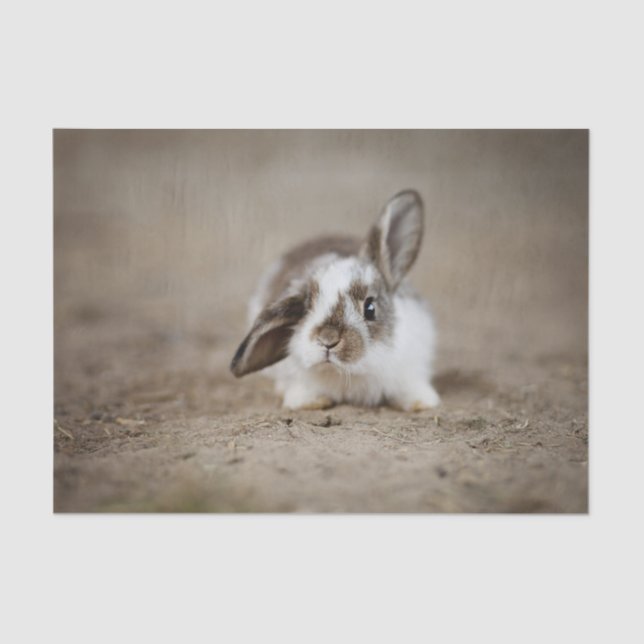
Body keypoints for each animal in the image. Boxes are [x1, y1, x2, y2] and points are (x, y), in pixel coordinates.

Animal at [230, 190, 440, 411]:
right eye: (306, 309)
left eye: (370, 308)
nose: (327, 340)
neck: (350, 373)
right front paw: (310, 402)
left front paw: (422, 402)